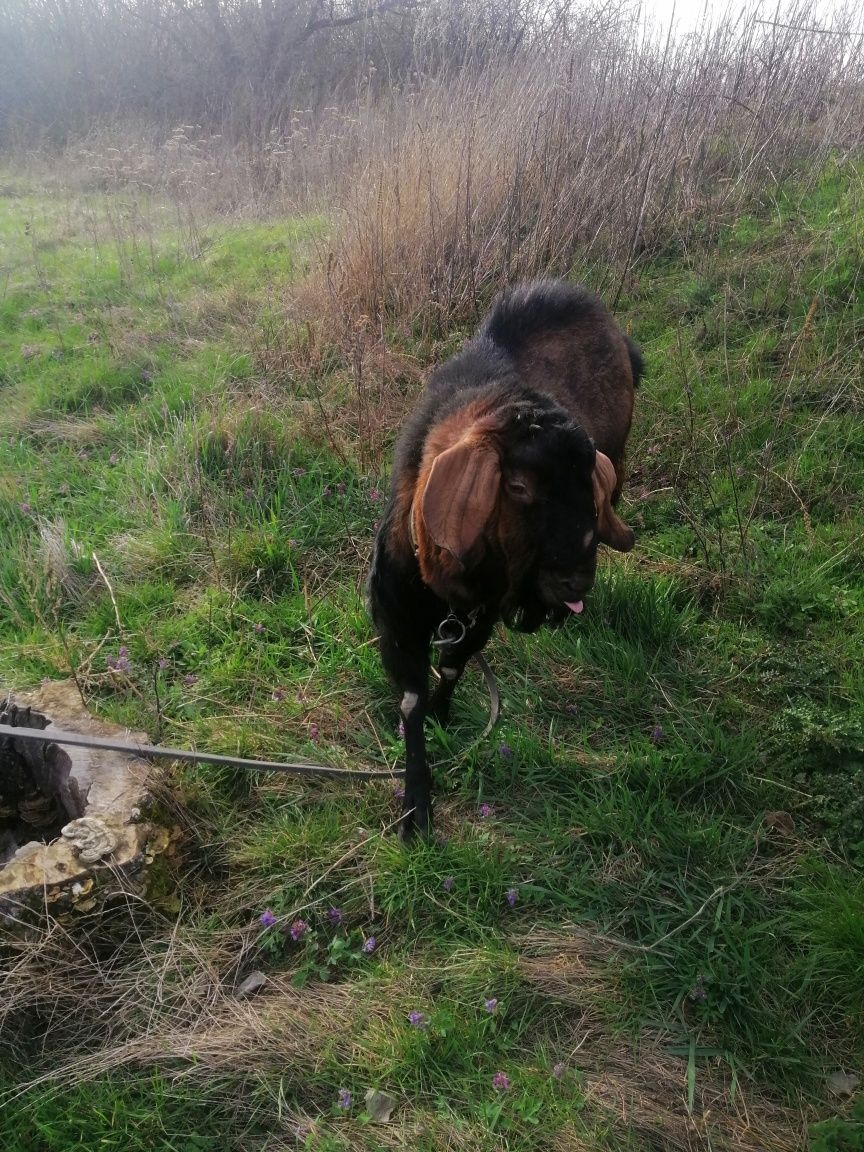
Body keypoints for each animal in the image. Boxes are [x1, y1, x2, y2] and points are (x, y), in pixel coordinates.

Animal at [366, 278, 645, 838]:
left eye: (589, 484)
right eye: (516, 485)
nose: (576, 582)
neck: (447, 595)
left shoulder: (480, 619)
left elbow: (453, 666)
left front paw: (443, 715)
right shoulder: (398, 626)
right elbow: (410, 702)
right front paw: (416, 808)